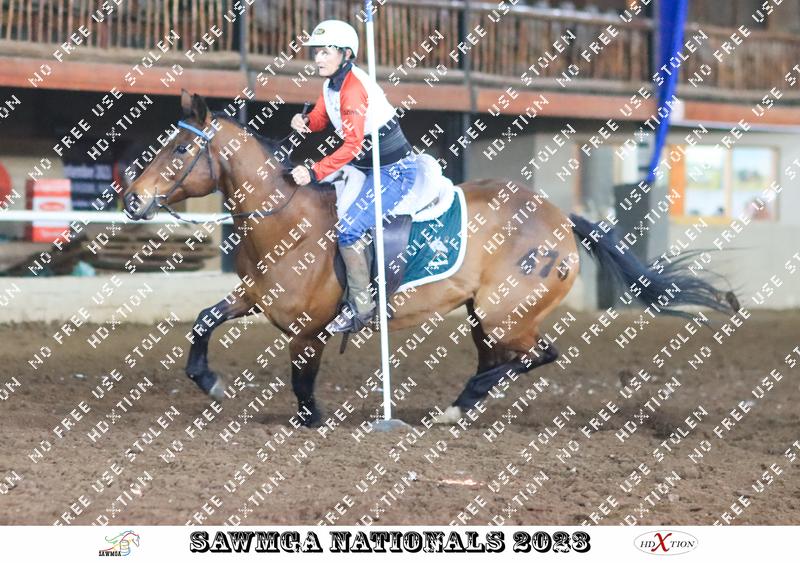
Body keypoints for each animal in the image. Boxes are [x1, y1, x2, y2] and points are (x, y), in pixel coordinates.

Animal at [122, 90, 737, 427]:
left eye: (180, 147)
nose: (132, 199)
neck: (285, 221)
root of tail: (561, 219)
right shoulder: (253, 297)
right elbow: (203, 322)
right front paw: (207, 380)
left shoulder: (308, 331)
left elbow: (302, 386)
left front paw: (312, 421)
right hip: (484, 318)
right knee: (506, 360)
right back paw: (463, 403)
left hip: (504, 314)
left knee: (537, 354)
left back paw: (460, 405)